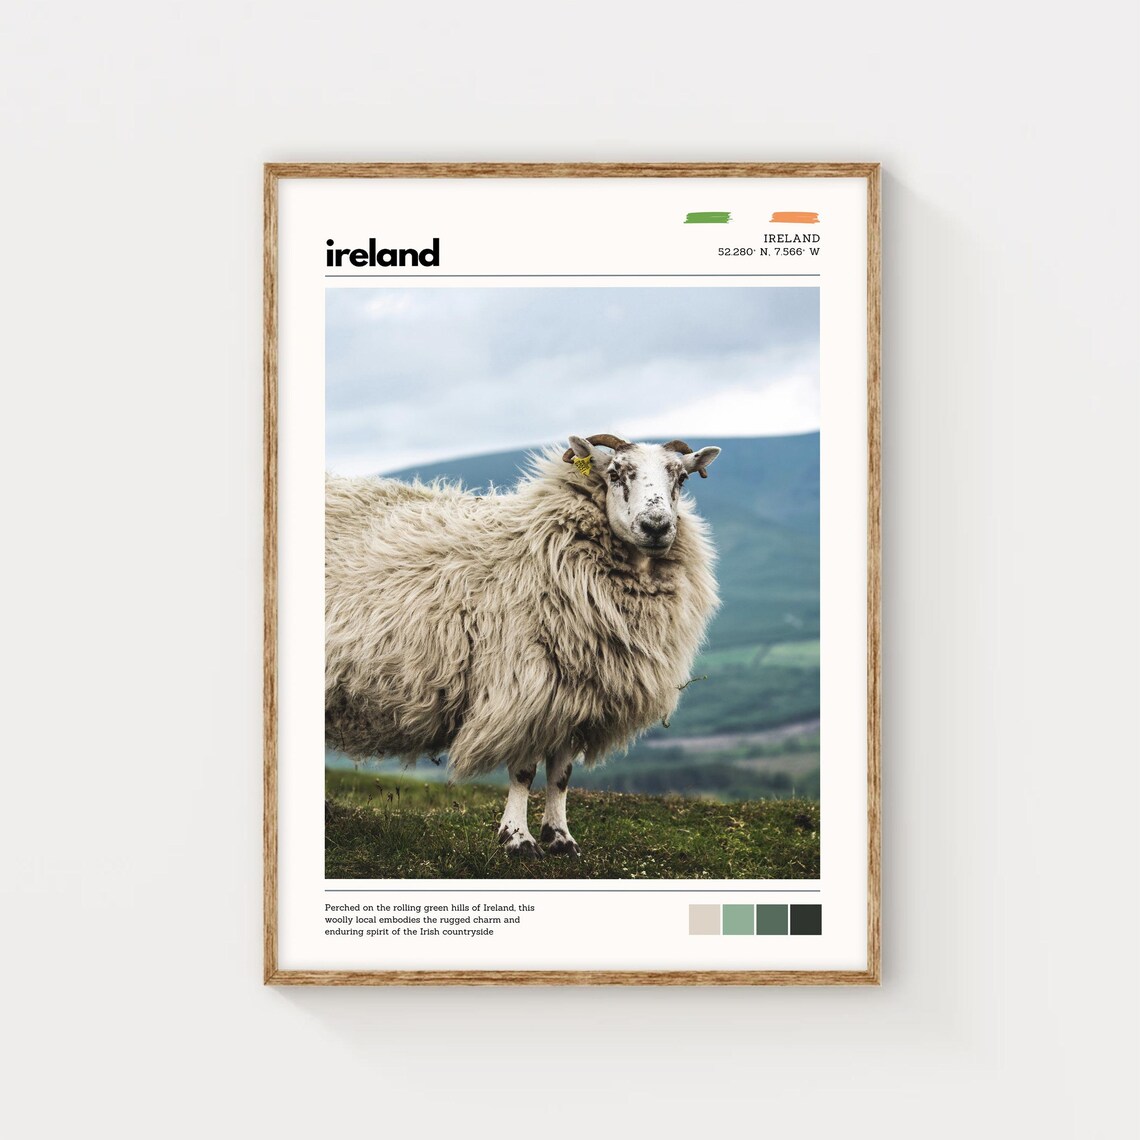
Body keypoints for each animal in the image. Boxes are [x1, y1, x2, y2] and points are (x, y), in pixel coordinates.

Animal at [325, 433, 721, 856]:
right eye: (616, 473)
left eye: (681, 478)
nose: (656, 526)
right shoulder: (525, 689)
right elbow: (524, 771)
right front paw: (518, 839)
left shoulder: (577, 697)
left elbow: (561, 775)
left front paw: (561, 838)